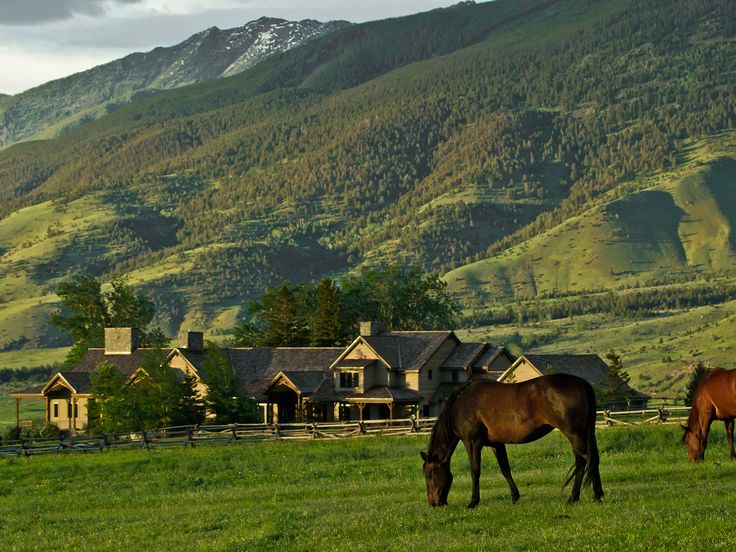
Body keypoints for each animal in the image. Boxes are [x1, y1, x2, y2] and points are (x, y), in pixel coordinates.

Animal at [420, 374, 604, 506]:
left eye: (429, 475)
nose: (433, 503)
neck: (461, 405)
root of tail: (582, 383)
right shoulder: (496, 444)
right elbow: (505, 469)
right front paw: (515, 496)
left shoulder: (472, 443)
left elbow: (475, 471)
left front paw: (473, 501)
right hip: (584, 434)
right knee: (591, 459)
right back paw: (595, 495)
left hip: (573, 434)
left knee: (584, 460)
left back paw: (579, 497)